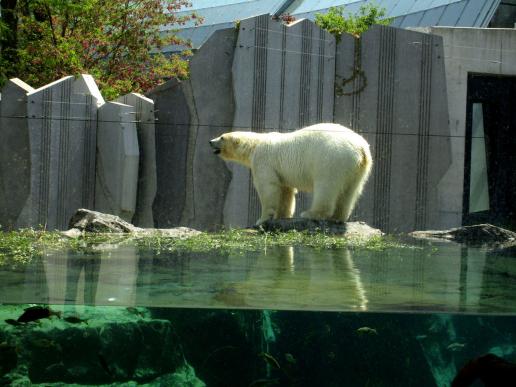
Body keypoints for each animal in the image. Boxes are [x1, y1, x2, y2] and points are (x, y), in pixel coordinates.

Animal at [208, 124, 372, 226]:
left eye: (222, 137)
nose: (210, 141)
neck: (255, 145)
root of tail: (361, 148)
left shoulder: (263, 161)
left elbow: (268, 188)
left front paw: (261, 220)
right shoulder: (280, 171)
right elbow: (285, 191)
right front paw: (282, 215)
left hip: (331, 159)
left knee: (326, 186)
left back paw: (310, 213)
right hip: (357, 169)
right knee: (350, 191)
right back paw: (338, 217)